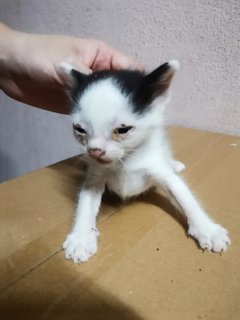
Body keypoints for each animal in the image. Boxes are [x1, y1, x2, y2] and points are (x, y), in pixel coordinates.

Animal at [61, 61, 230, 264]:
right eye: (79, 129)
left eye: (123, 130)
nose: (94, 150)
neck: (126, 160)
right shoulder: (96, 176)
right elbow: (85, 204)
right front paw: (81, 237)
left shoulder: (160, 170)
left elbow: (185, 196)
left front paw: (207, 229)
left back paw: (174, 164)